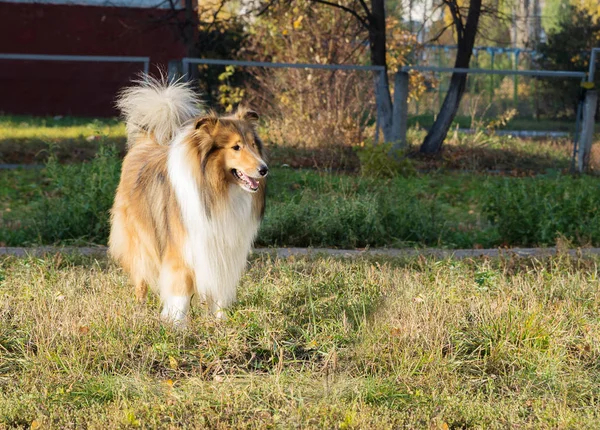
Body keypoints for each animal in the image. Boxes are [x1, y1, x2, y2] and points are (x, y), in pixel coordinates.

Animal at [108, 77, 268, 326]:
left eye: (253, 144)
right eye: (236, 147)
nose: (264, 169)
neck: (217, 191)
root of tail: (147, 140)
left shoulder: (221, 249)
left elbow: (218, 290)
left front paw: (220, 321)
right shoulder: (182, 248)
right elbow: (180, 289)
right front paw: (177, 325)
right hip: (139, 237)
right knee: (141, 274)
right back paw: (139, 306)